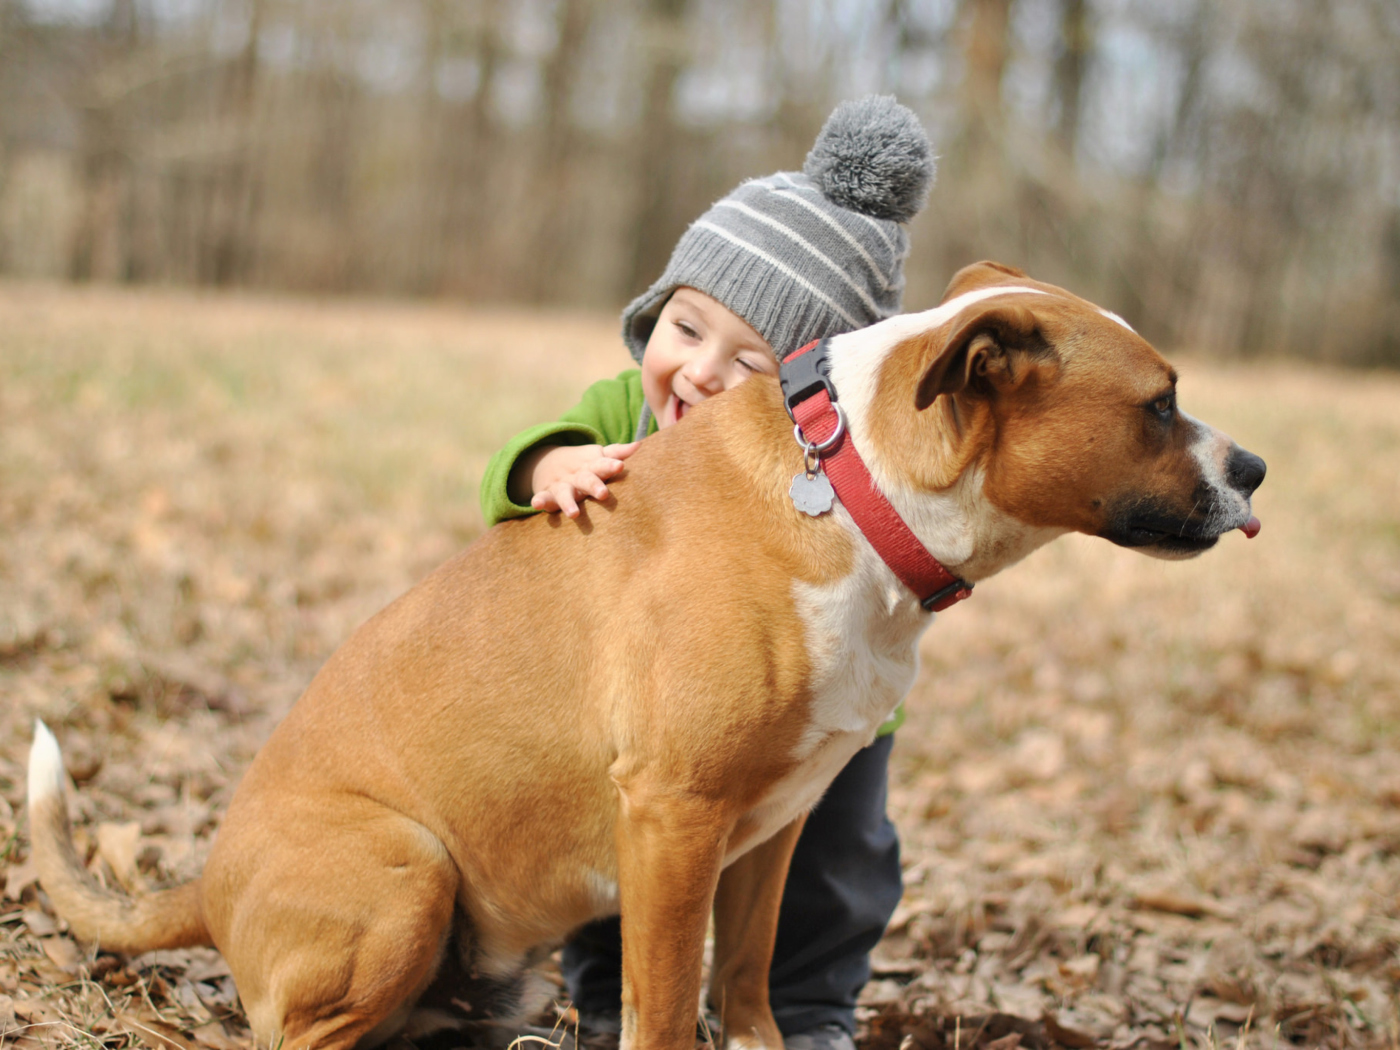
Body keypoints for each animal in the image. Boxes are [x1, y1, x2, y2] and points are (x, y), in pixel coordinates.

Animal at [27, 264, 1265, 1050]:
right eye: (1158, 405)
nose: (1253, 468)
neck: (848, 491)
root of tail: (206, 882)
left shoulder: (774, 821)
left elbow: (748, 977)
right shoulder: (674, 818)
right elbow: (667, 1007)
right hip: (407, 869)